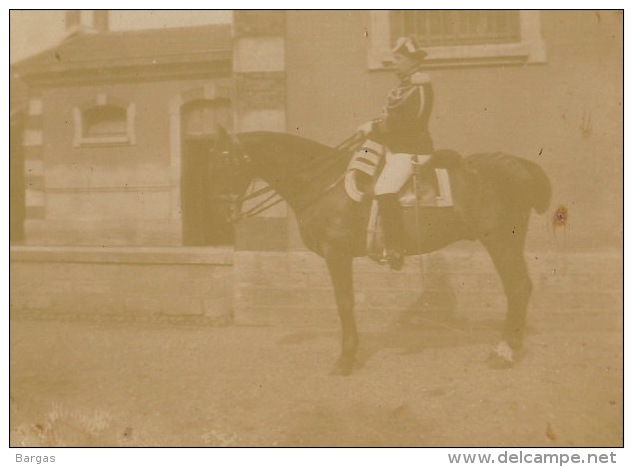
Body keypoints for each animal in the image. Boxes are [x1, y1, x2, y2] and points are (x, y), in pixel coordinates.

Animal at [210, 128, 552, 376]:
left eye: (226, 162)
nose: (221, 213)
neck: (323, 181)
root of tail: (518, 165)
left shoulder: (337, 254)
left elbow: (344, 303)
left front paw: (346, 358)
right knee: (521, 288)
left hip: (500, 242)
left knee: (517, 288)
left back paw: (504, 351)